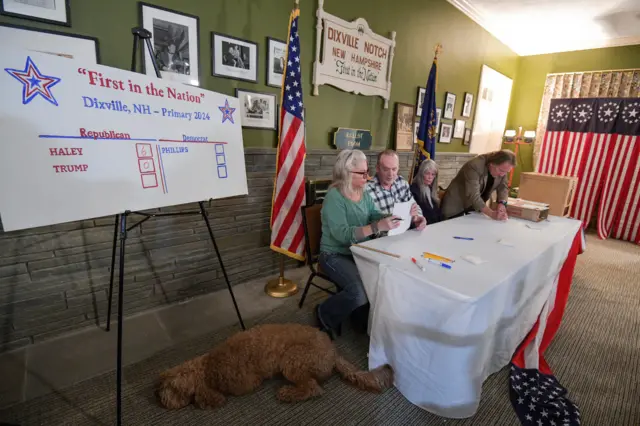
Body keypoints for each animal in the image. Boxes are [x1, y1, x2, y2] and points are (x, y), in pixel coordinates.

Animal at [158, 322, 392, 410]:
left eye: (173, 389)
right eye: (162, 384)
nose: (158, 398)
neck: (208, 367)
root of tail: (334, 353)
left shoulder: (245, 383)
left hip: (292, 361)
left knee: (312, 388)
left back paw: (288, 393)